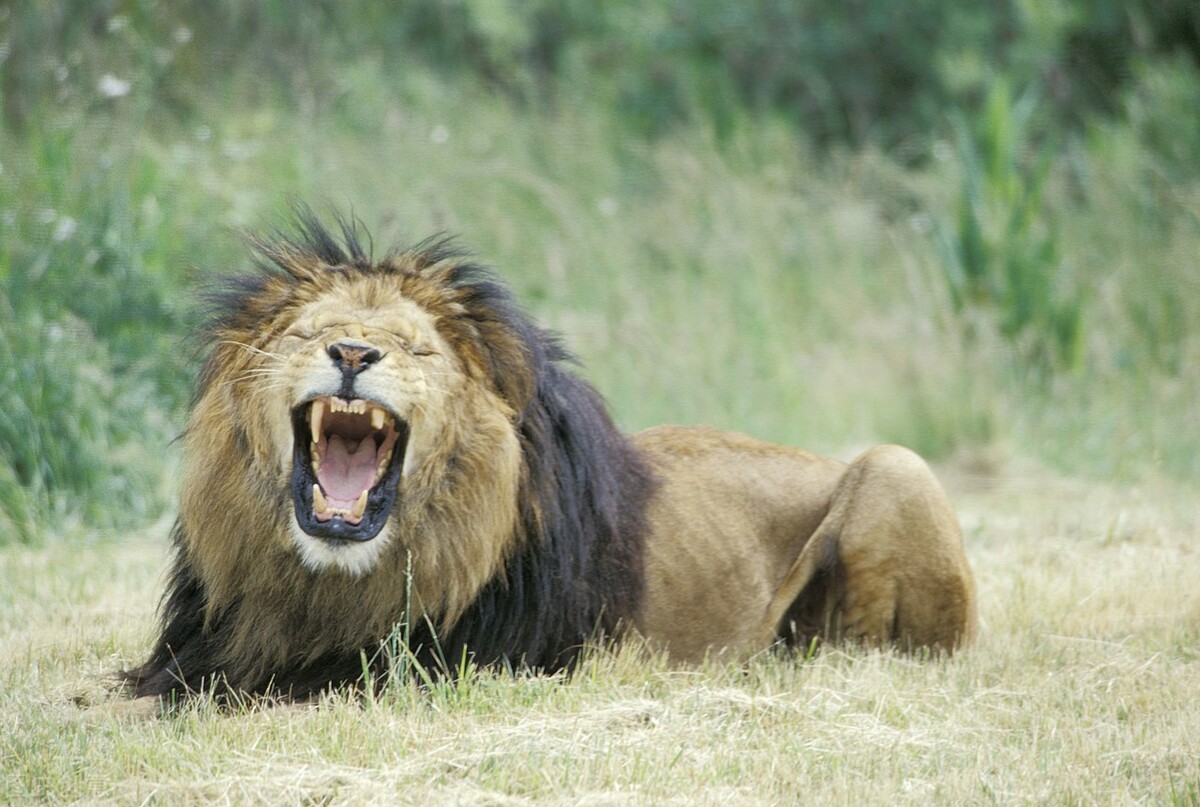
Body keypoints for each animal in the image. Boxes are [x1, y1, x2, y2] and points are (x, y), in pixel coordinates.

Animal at [121, 210, 974, 701]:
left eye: (416, 347)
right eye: (309, 333)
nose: (354, 352)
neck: (324, 584)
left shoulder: (435, 665)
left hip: (898, 466)